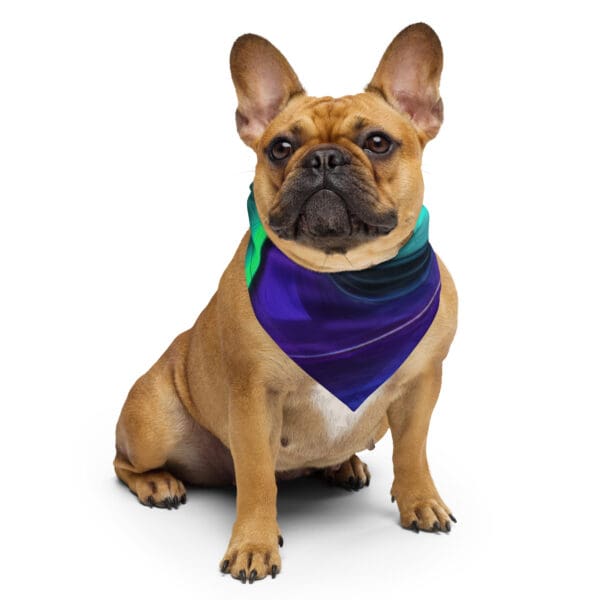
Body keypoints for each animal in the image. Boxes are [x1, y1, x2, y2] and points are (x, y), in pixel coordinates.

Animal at [113, 22, 460, 580]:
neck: (343, 278)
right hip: (153, 422)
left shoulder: (422, 385)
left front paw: (420, 501)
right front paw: (253, 544)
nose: (322, 157)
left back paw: (344, 464)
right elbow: (257, 479)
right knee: (126, 462)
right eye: (279, 147)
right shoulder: (254, 398)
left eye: (378, 142)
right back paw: (159, 483)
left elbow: (413, 451)